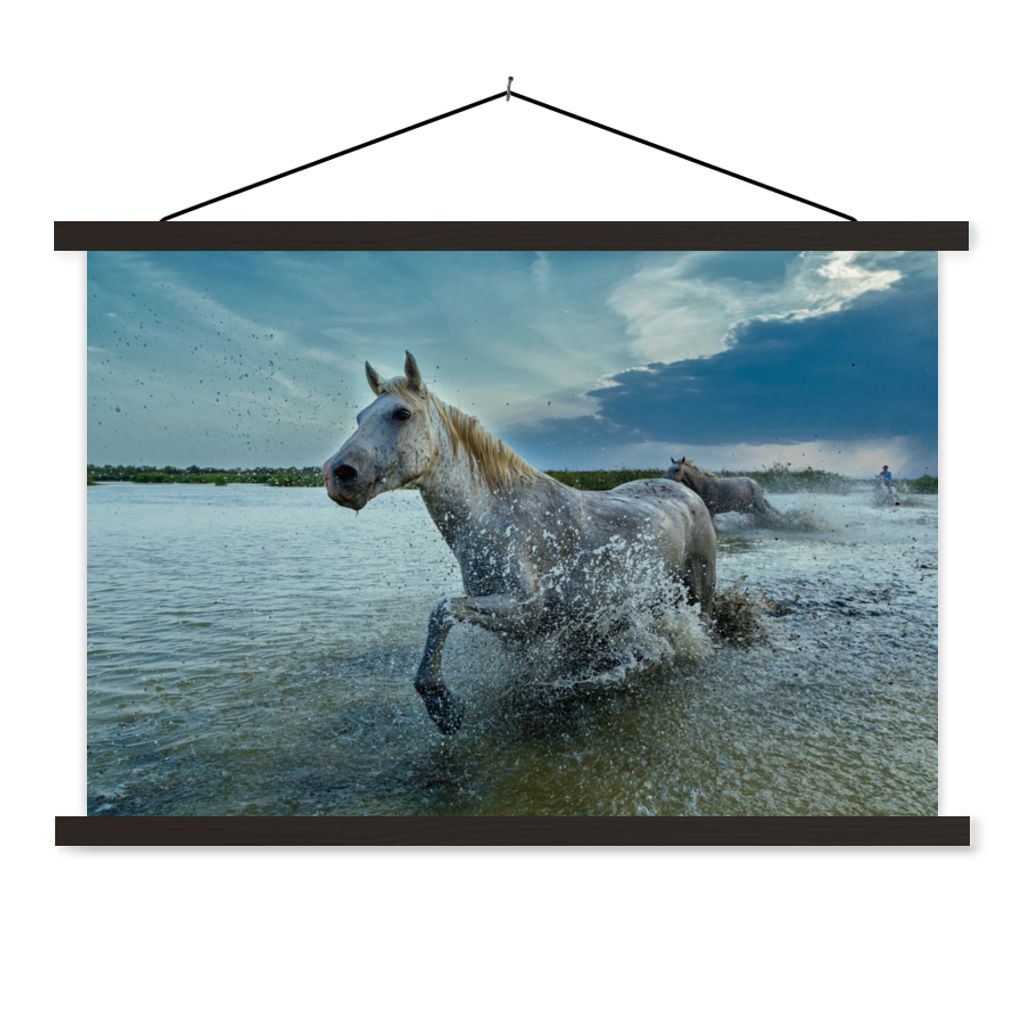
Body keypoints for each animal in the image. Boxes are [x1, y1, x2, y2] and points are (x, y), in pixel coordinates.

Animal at [322, 352, 717, 734]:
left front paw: (442, 706)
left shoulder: (523, 611)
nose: (337, 474)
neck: (498, 517)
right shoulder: (517, 632)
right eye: (360, 416)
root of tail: (686, 493)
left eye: (402, 413)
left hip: (700, 592)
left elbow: (442, 611)